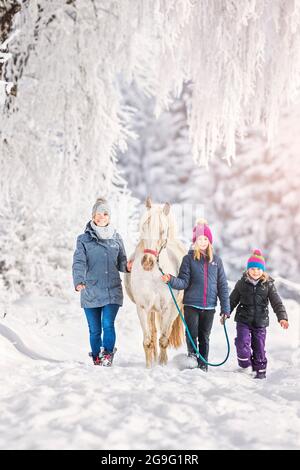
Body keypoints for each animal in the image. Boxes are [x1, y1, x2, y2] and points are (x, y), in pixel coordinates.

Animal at [125, 196, 186, 370]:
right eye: (144, 227)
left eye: (162, 231)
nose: (147, 262)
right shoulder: (142, 308)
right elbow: (148, 341)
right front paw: (149, 367)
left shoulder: (168, 308)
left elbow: (164, 340)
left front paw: (162, 365)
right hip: (152, 311)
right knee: (153, 333)